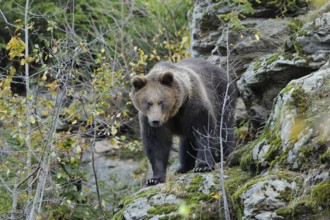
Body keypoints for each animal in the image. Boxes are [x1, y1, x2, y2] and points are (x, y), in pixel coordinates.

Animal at [130, 58, 236, 186]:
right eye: (148, 103)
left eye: (161, 101)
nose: (155, 121)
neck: (173, 113)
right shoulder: (149, 121)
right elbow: (156, 145)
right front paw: (154, 179)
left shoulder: (194, 107)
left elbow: (205, 132)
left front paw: (203, 166)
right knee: (186, 142)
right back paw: (183, 168)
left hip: (223, 96)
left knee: (225, 128)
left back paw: (226, 155)